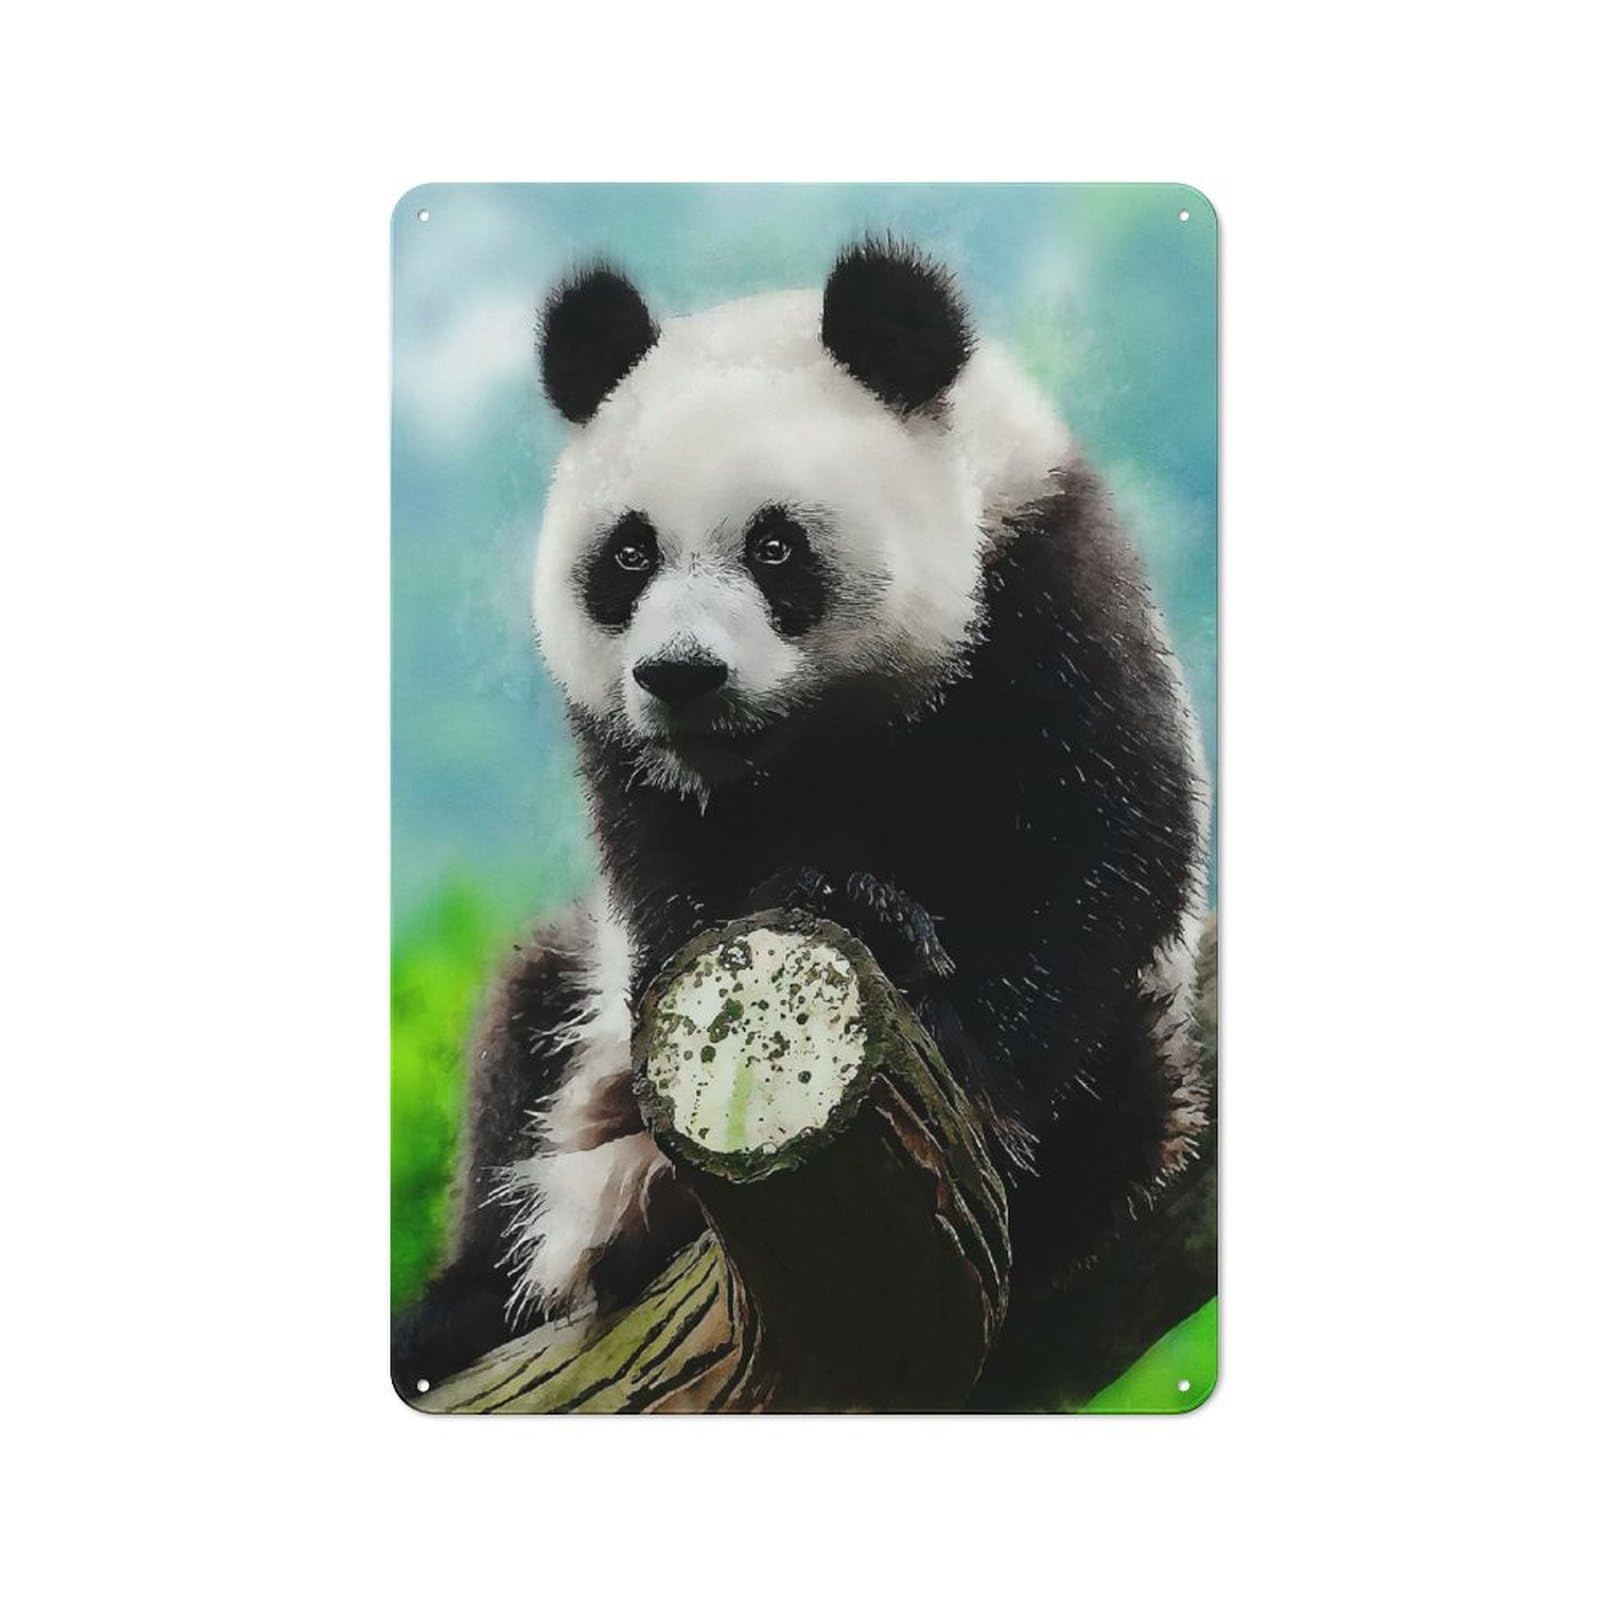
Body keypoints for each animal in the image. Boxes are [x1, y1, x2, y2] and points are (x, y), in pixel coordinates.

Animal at [393, 239, 1211, 1394]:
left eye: (775, 547)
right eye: (630, 555)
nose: (681, 674)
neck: (809, 742)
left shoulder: (1046, 589)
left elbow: (1097, 847)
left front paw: (947, 1020)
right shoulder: (632, 762)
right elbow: (666, 884)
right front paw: (834, 895)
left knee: (1122, 1107)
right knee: (521, 1031)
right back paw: (484, 1295)